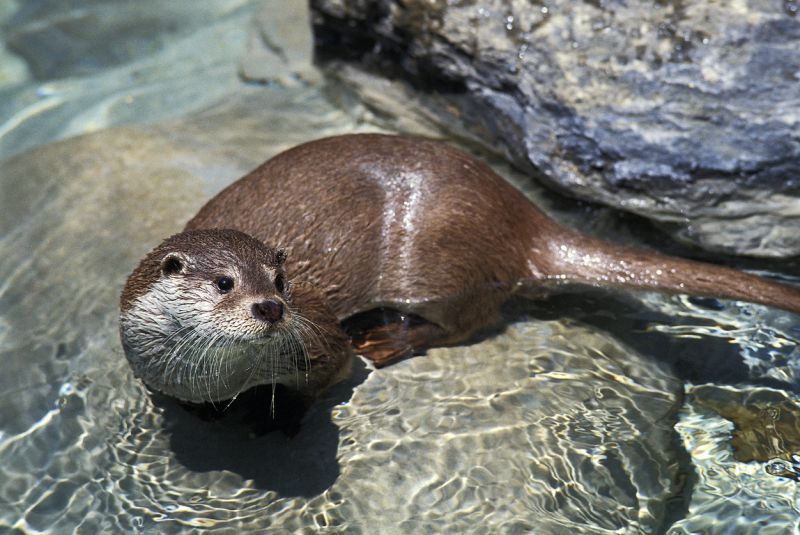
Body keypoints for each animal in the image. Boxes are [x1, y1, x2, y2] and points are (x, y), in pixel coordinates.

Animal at [121, 134, 800, 404]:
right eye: (225, 283)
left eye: (282, 281)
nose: (271, 308)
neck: (215, 386)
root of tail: (522, 220)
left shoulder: (319, 344)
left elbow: (324, 379)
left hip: (444, 258)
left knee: (470, 319)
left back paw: (390, 338)